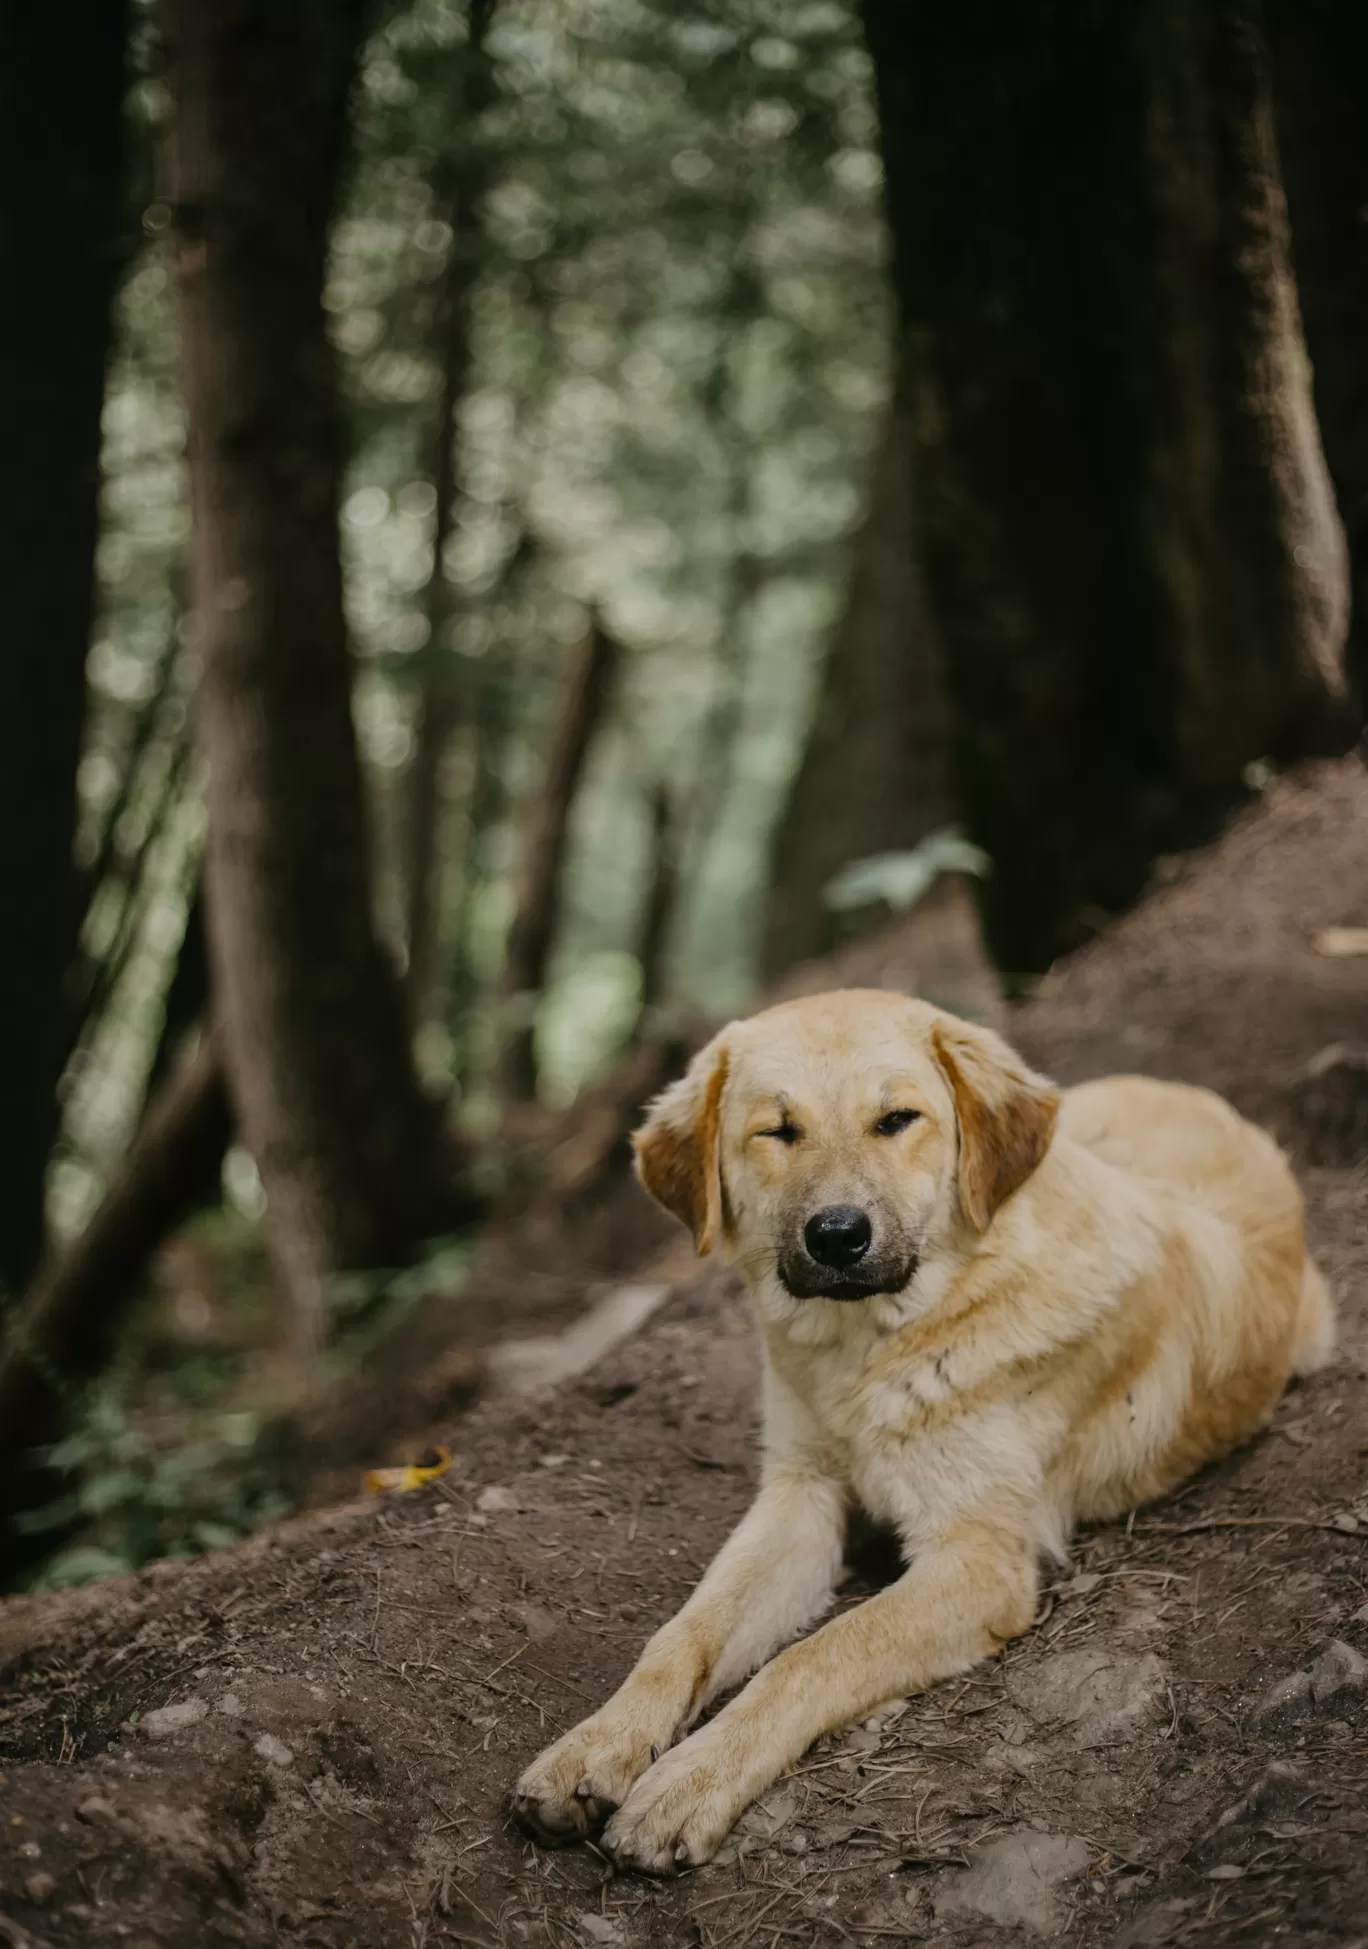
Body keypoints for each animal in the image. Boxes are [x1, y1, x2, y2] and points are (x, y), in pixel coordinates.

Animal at [510, 990, 1325, 1871]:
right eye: (778, 1130)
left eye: (897, 1119)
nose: (837, 1234)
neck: (875, 1352)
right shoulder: (800, 1496)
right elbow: (683, 1634)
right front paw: (598, 1744)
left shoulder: (976, 1558)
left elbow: (813, 1654)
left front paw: (692, 1779)